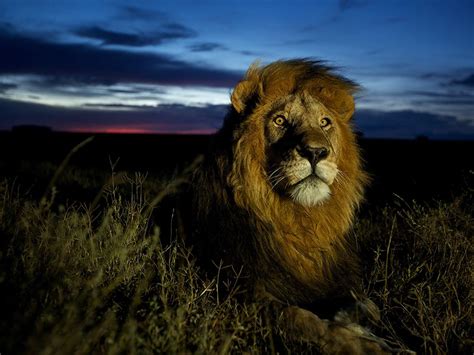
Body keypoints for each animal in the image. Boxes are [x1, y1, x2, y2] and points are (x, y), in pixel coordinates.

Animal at [187, 58, 394, 354]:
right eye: (280, 120)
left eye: (325, 122)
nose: (316, 152)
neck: (298, 221)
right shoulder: (236, 291)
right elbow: (298, 317)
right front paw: (363, 343)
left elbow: (370, 304)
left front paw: (355, 318)